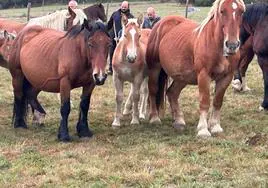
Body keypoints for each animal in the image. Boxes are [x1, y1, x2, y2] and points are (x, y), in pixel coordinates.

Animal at [147, 0, 245, 138]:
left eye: (241, 12)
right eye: (222, 11)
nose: (232, 45)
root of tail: (160, 24)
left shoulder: (226, 77)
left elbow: (217, 101)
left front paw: (215, 126)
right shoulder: (203, 75)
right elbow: (204, 101)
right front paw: (203, 130)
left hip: (182, 77)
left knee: (172, 93)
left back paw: (179, 121)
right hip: (154, 69)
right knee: (153, 91)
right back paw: (155, 118)